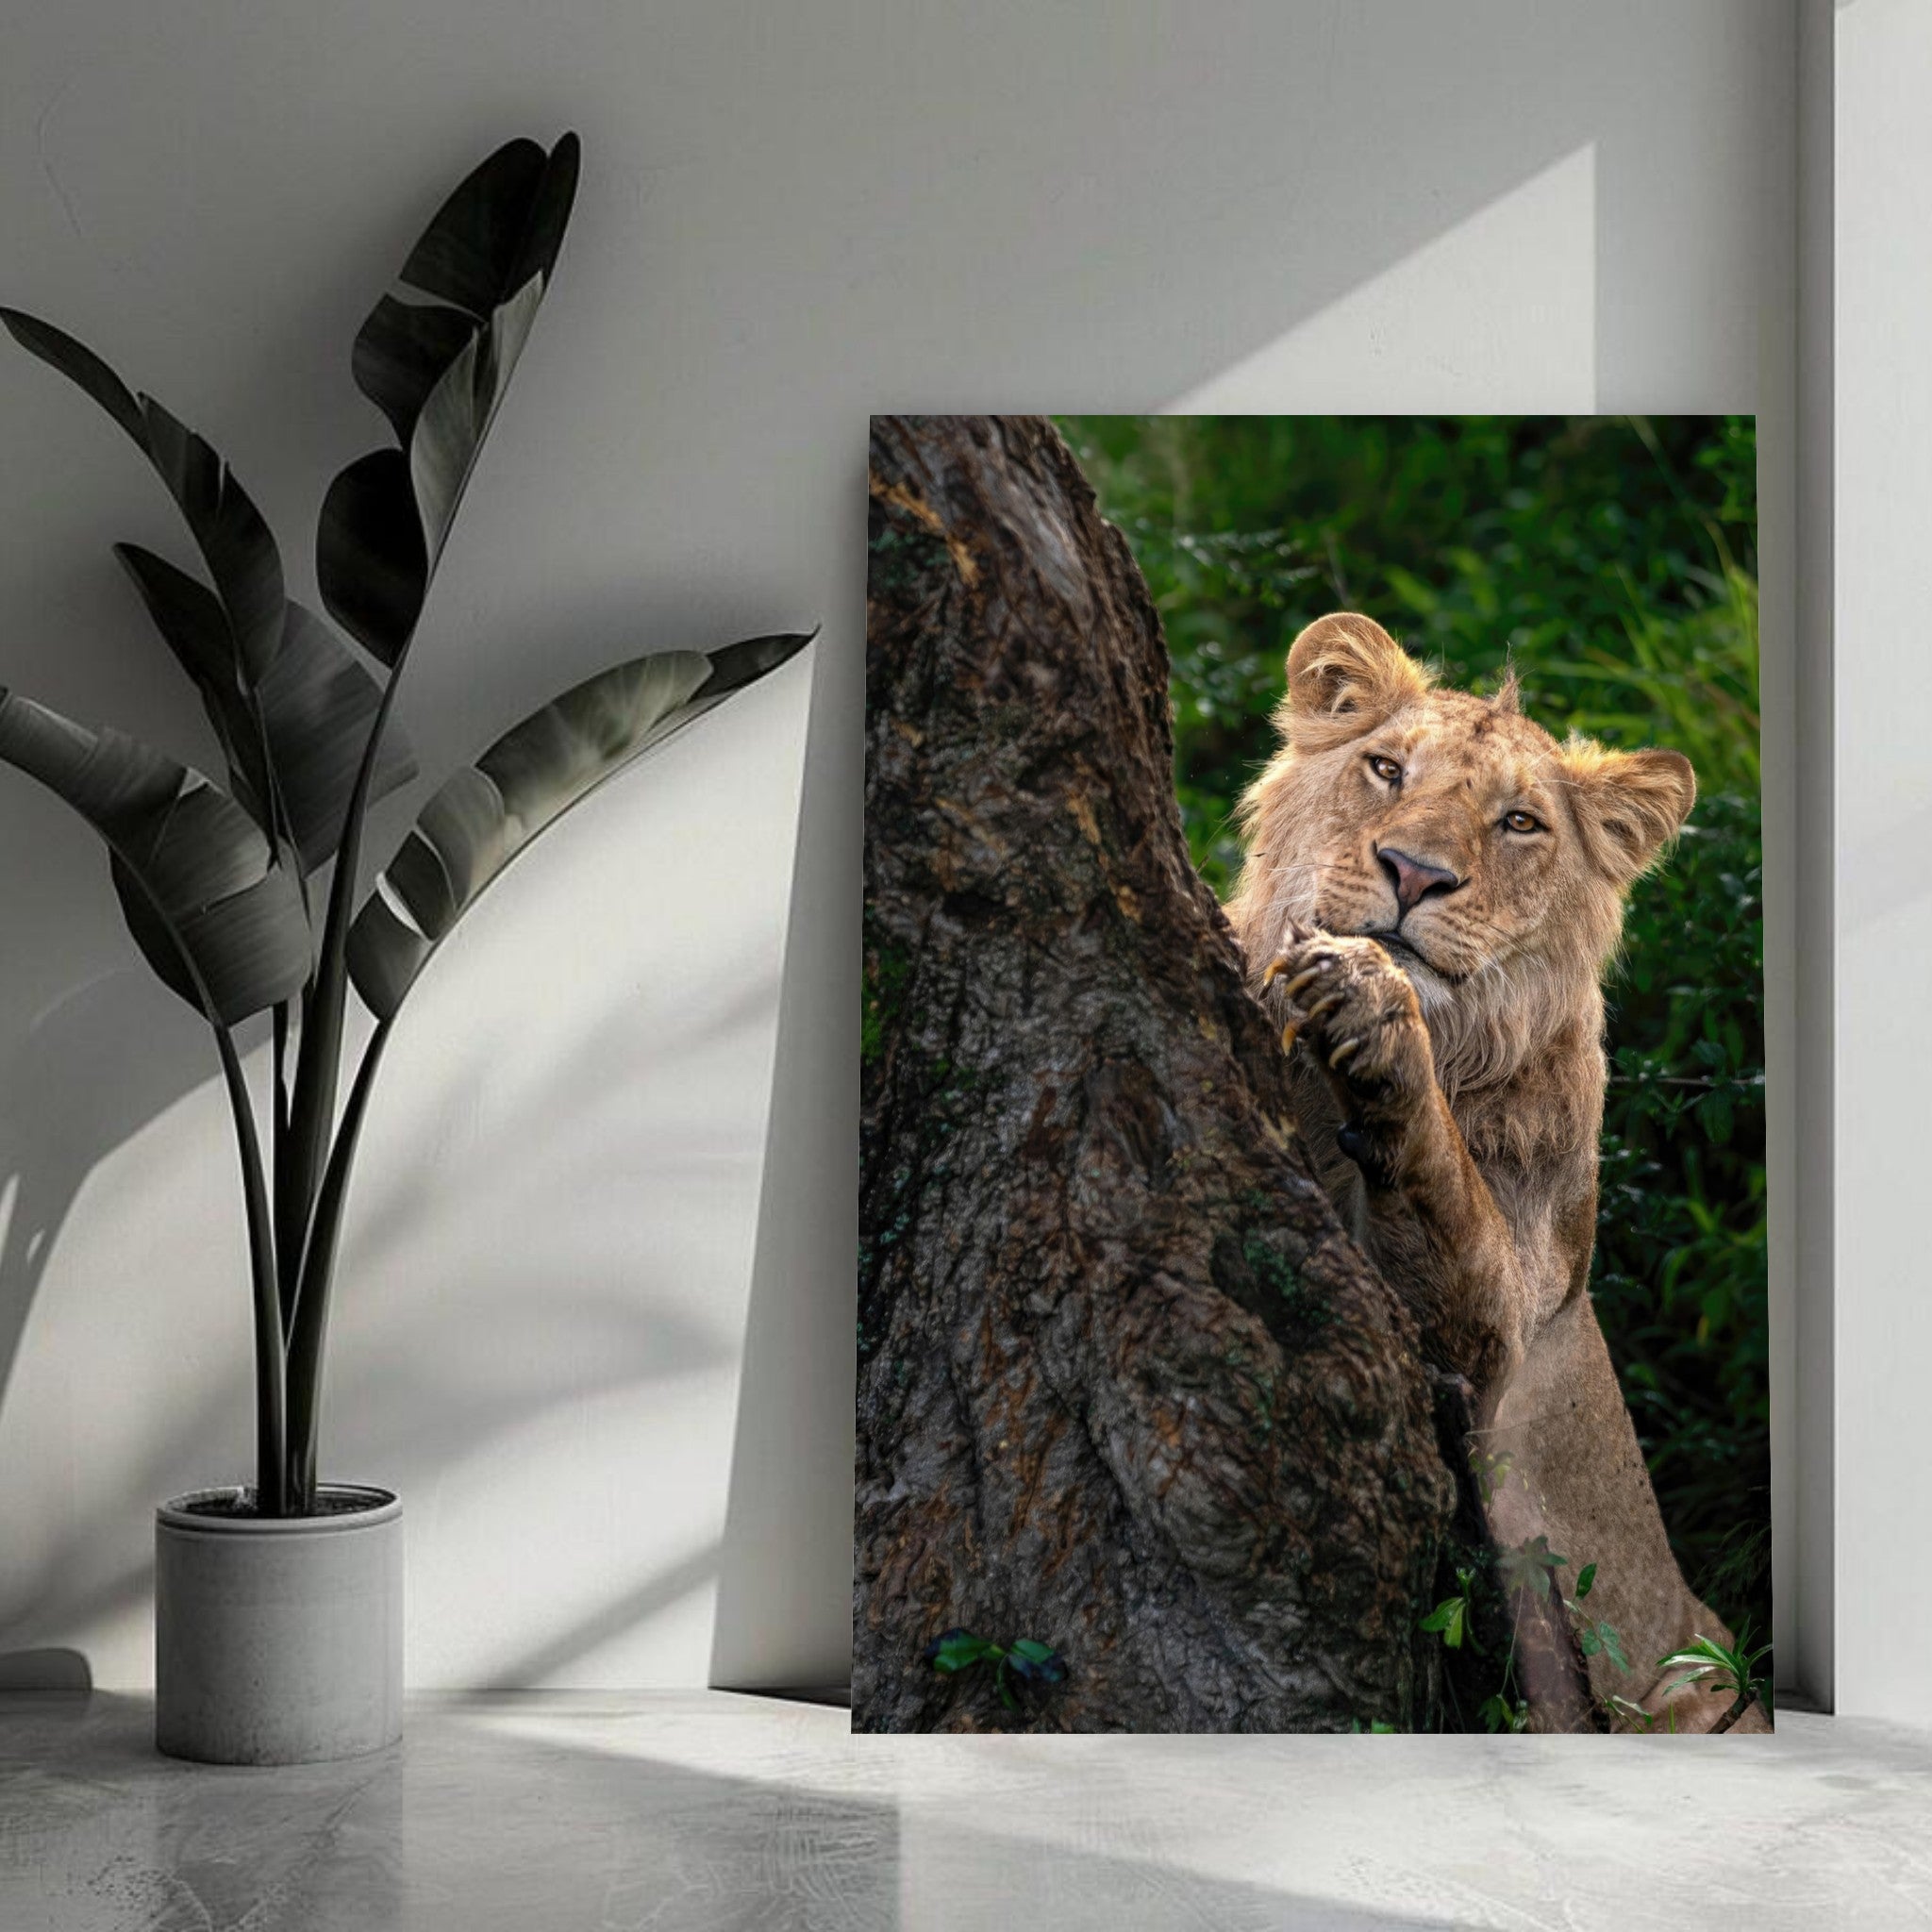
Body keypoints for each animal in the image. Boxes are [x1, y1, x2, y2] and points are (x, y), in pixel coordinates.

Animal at [1225, 612, 1767, 1733]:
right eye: (1385, 769)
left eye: (1518, 822)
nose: (1413, 873)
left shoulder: (1500, 1342)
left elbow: (1445, 1193)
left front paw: (1369, 1003)